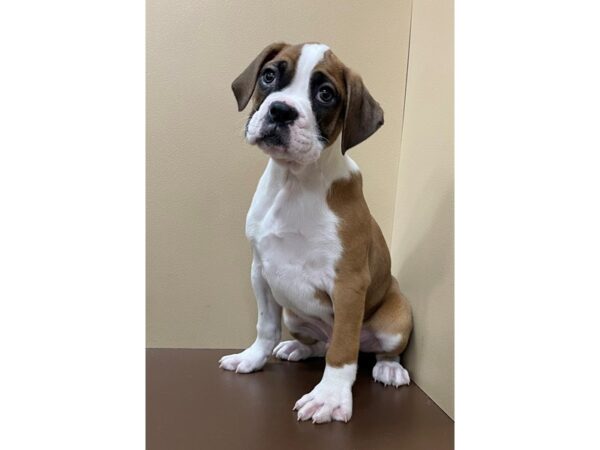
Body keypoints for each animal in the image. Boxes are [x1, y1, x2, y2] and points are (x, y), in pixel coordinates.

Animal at [219, 40, 412, 424]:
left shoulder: (349, 284)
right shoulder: (260, 271)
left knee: (372, 347)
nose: (280, 111)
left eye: (325, 94)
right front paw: (253, 358)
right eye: (269, 75)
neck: (294, 182)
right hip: (294, 313)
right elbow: (265, 326)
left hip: (397, 317)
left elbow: (342, 349)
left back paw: (389, 368)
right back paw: (298, 347)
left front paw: (330, 397)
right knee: (321, 342)